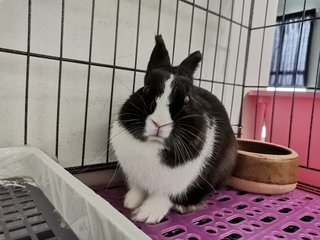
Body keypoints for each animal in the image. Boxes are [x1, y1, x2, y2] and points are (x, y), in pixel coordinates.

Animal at [111, 34, 236, 224]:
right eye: (146, 89)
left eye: (186, 99)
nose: (159, 123)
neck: (153, 145)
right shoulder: (136, 177)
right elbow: (138, 189)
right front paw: (130, 202)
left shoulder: (174, 183)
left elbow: (162, 197)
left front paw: (147, 215)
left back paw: (186, 206)